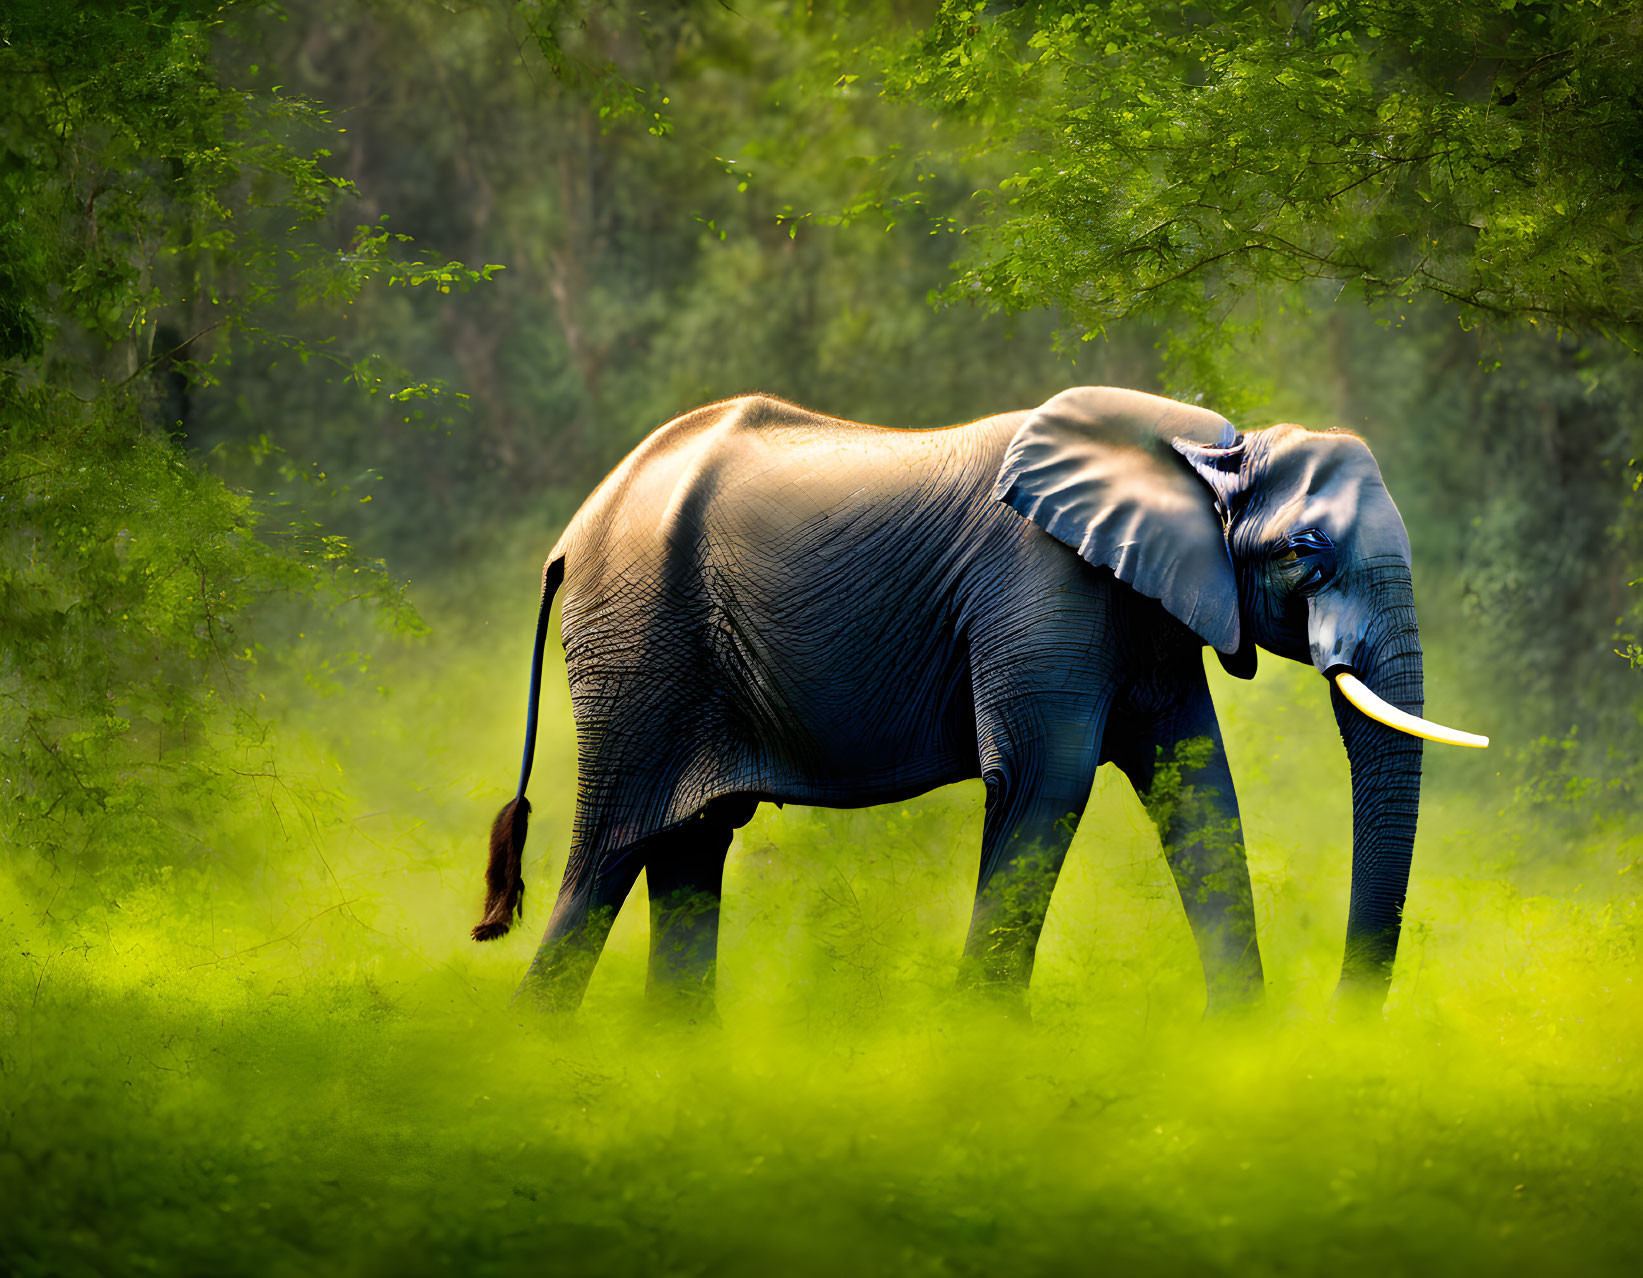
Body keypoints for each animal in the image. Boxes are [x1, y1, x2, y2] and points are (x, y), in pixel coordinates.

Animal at [469, 386, 1485, 1018]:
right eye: (1306, 552)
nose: (1337, 1022)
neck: (1209, 449)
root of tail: (573, 535)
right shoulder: (1040, 584)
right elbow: (1046, 779)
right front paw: (980, 1051)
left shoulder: (1147, 611)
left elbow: (1194, 786)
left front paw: (1240, 1045)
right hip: (638, 651)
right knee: (610, 850)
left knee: (688, 847)